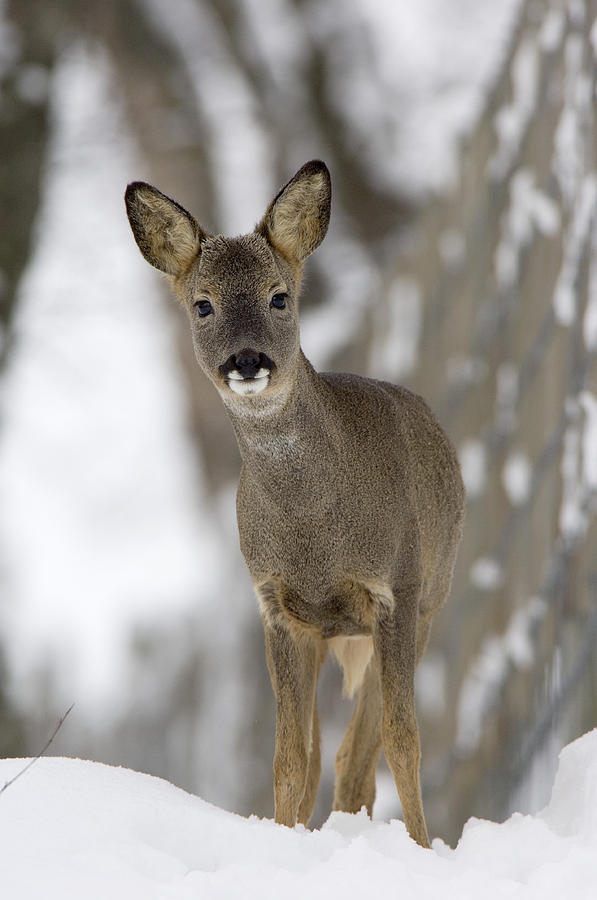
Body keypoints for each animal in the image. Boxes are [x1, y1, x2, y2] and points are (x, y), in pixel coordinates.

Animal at [124, 160, 460, 844]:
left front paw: (422, 846)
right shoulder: (276, 608)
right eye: (202, 304)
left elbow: (403, 741)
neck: (315, 536)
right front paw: (282, 842)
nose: (247, 359)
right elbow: (288, 759)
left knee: (360, 757)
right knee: (327, 758)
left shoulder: (396, 590)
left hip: (430, 601)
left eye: (280, 296)